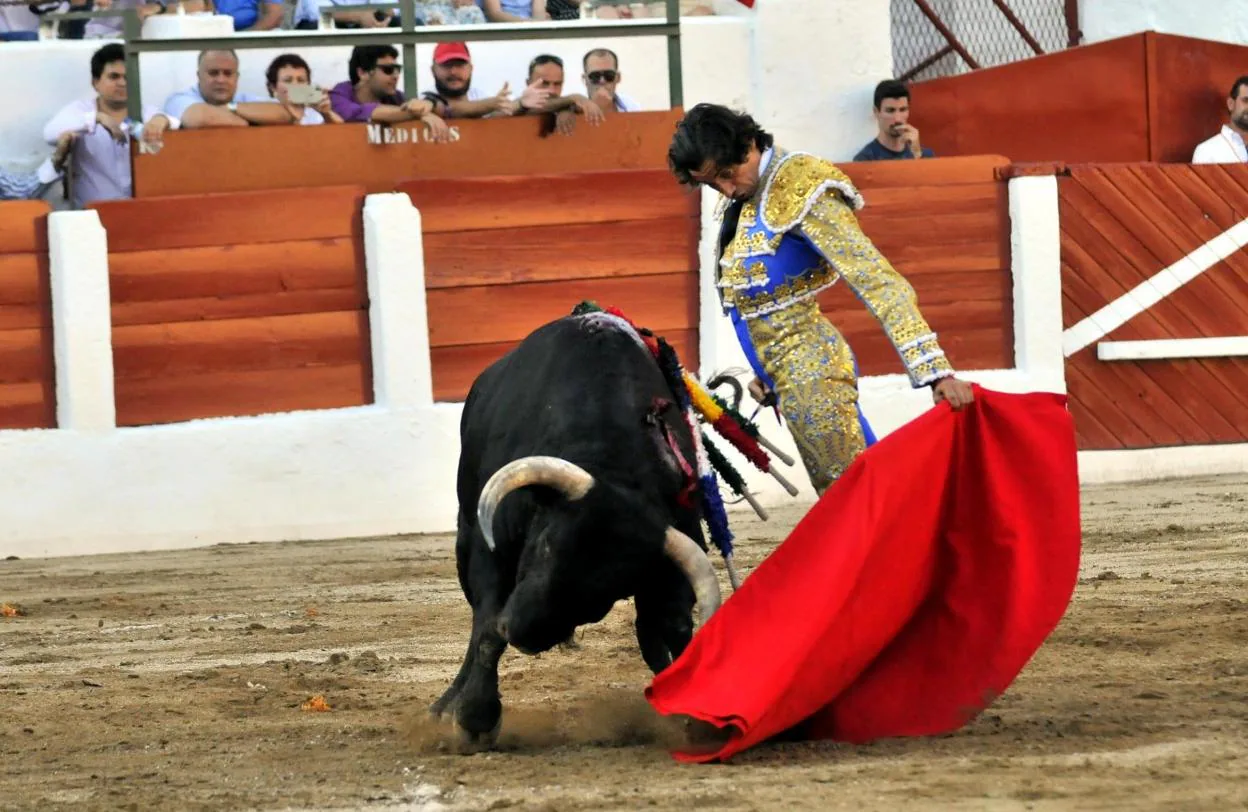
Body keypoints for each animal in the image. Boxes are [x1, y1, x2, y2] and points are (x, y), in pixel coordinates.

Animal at [429, 313, 723, 748]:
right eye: (546, 545)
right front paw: (473, 719)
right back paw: (446, 705)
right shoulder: (491, 549)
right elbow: (485, 630)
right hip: (465, 535)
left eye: (606, 592)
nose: (522, 631)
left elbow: (676, 627)